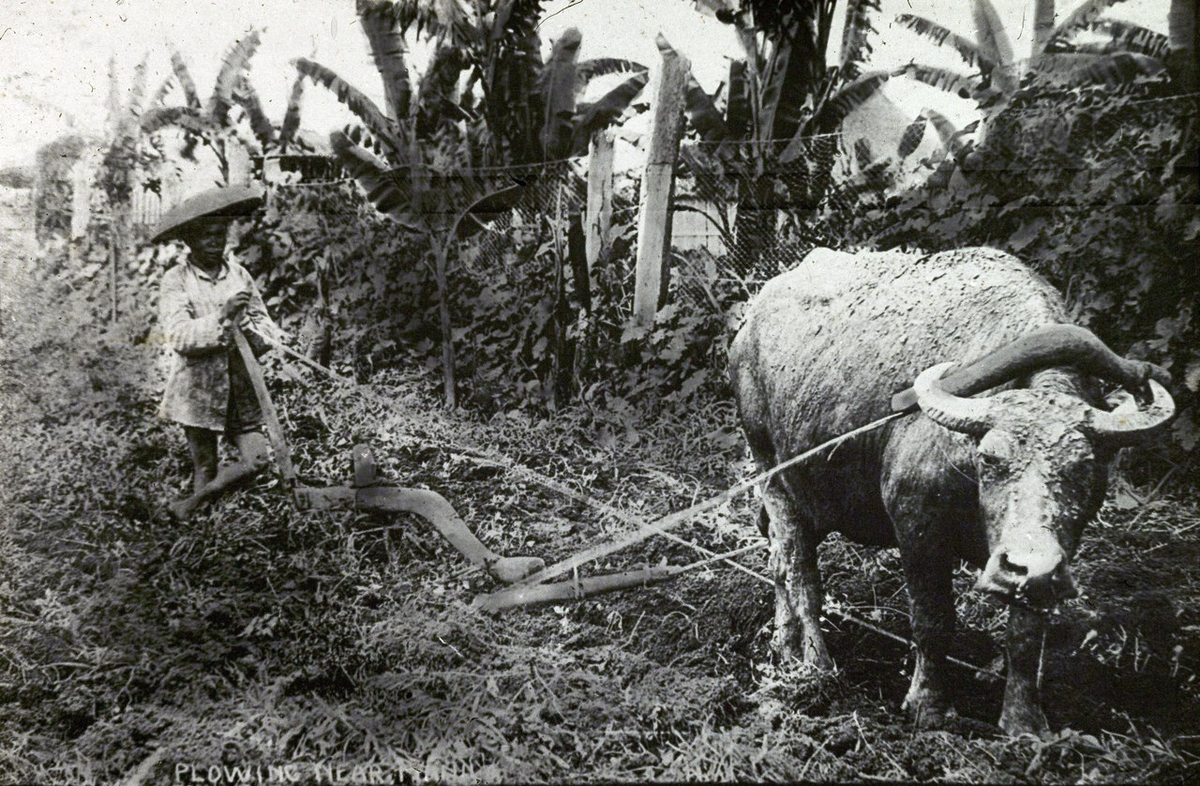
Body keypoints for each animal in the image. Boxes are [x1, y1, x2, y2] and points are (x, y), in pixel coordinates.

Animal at [724, 249, 1176, 734]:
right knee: (799, 571)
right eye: (991, 458)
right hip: (773, 476)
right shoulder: (917, 527)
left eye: (1083, 467)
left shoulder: (1050, 551)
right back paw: (816, 664)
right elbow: (933, 620)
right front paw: (928, 706)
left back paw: (784, 643)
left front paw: (1023, 723)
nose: (1029, 568)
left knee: (777, 562)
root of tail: (747, 325)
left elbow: (1025, 635)